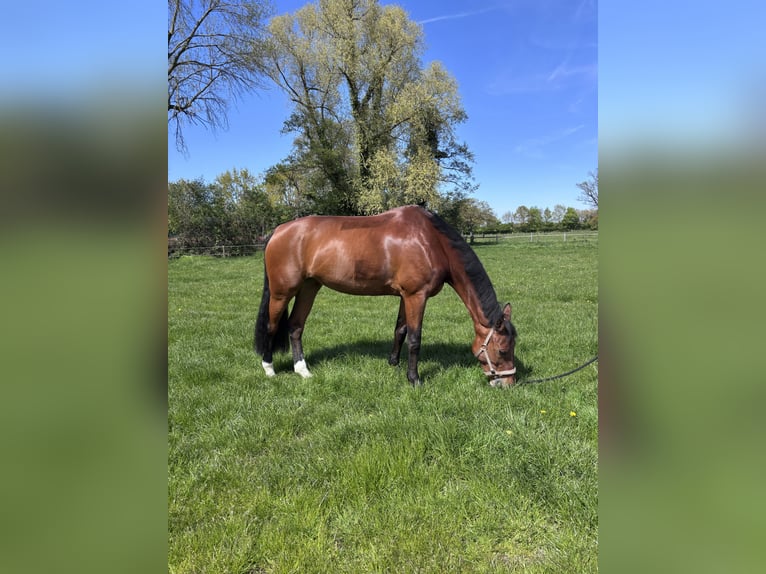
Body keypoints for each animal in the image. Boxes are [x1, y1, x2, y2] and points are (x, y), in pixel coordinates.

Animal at [254, 205, 517, 387]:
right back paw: (268, 368)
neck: (431, 241)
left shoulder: (405, 296)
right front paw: (414, 379)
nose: (508, 383)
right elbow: (415, 338)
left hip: (309, 287)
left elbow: (400, 330)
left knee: (295, 326)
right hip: (282, 292)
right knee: (271, 326)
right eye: (503, 350)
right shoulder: (416, 295)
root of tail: (278, 231)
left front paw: (393, 364)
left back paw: (302, 371)